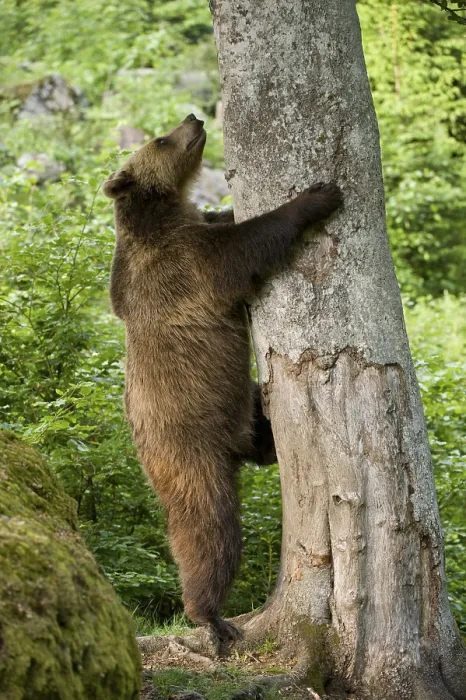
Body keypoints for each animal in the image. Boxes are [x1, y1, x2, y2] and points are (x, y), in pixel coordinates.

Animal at [103, 113, 343, 641]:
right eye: (160, 138)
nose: (193, 118)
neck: (167, 214)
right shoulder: (184, 263)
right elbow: (242, 250)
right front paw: (318, 195)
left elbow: (226, 222)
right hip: (189, 449)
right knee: (209, 529)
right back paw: (211, 617)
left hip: (239, 408)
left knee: (260, 427)